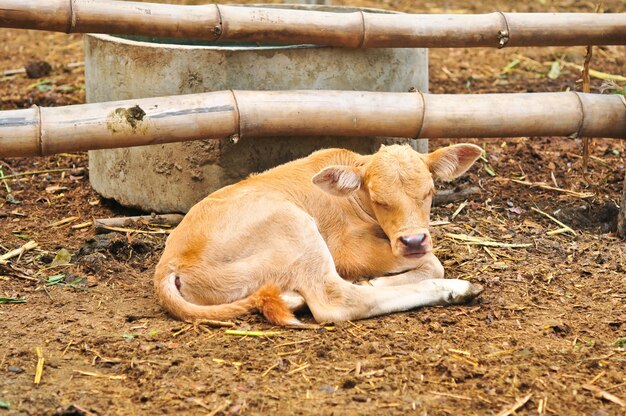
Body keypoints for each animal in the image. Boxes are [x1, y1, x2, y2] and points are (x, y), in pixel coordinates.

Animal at [155, 143, 482, 324]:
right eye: (379, 200)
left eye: (430, 191)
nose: (413, 241)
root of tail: (168, 265)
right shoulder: (346, 250)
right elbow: (433, 263)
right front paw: (376, 279)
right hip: (297, 230)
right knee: (337, 300)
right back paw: (457, 289)